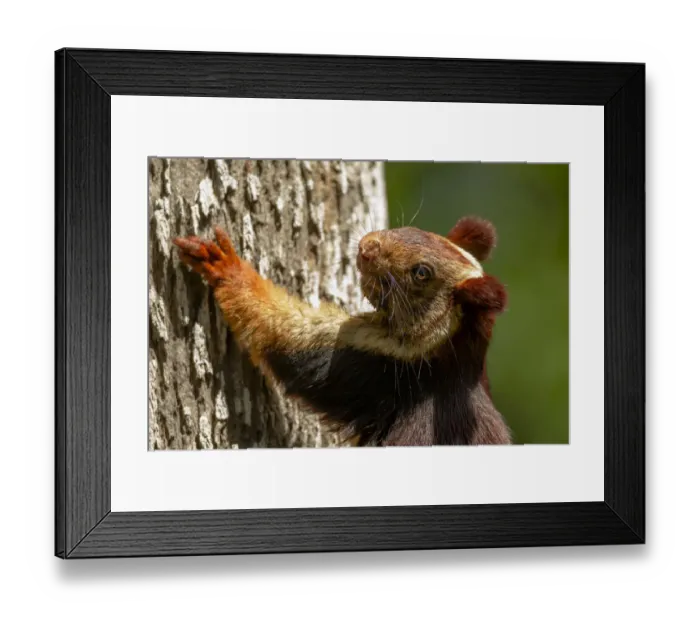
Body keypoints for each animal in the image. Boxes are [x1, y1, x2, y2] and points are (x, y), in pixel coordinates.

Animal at [173, 215, 512, 447]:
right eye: (417, 231)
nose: (367, 246)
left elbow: (283, 328)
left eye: (422, 273)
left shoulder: (371, 365)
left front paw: (226, 267)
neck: (454, 352)